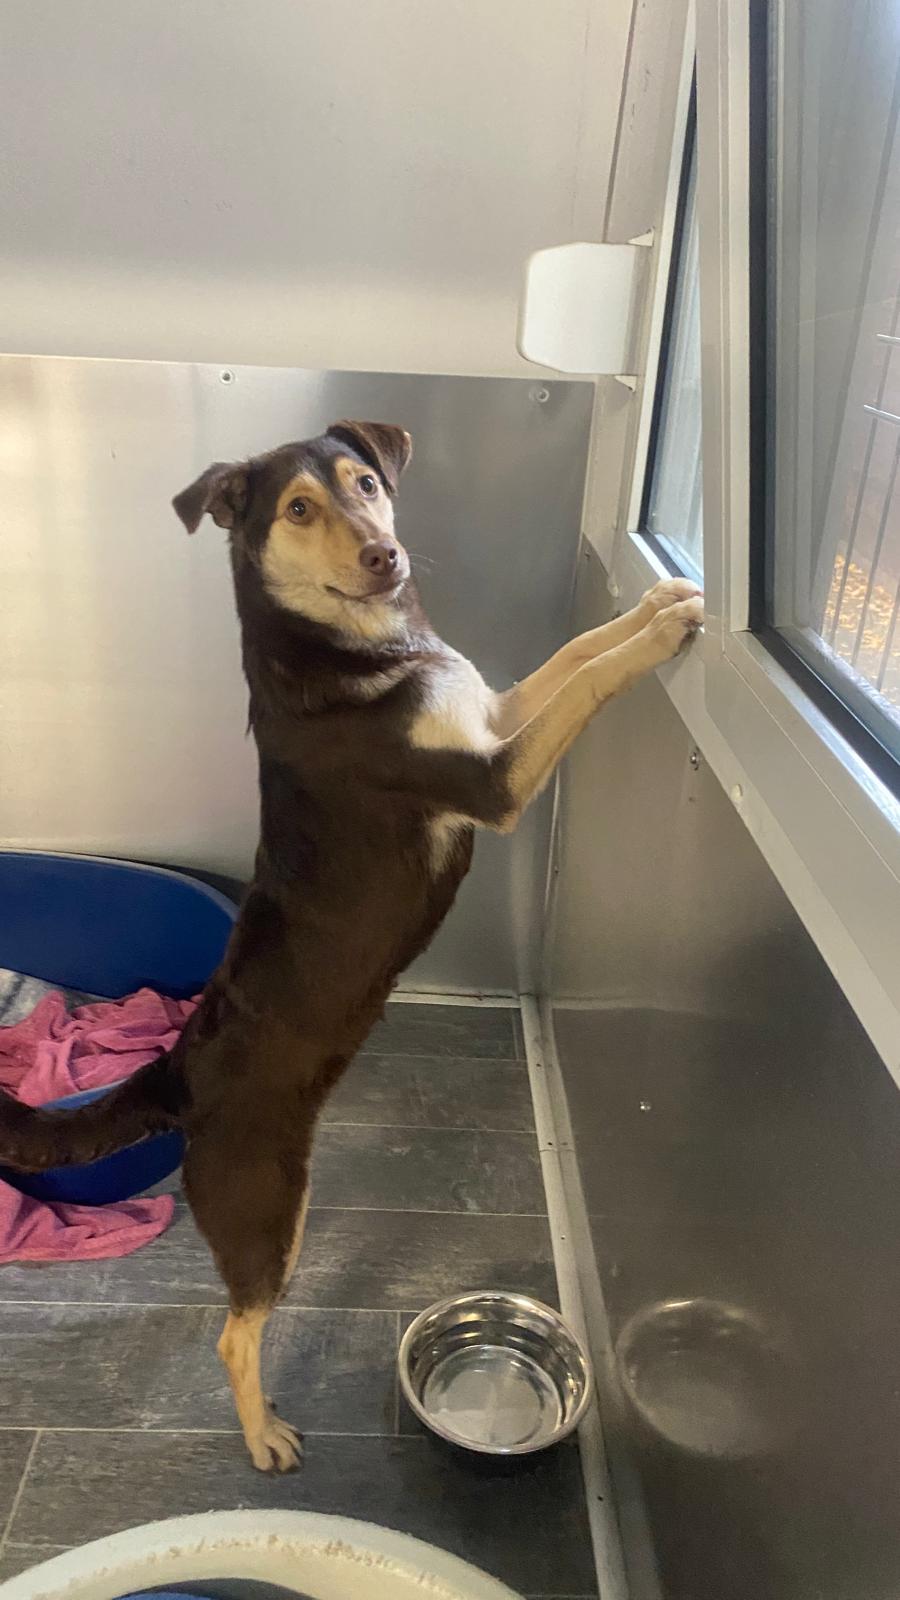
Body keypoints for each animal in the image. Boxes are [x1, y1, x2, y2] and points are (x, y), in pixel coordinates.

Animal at [0, 420, 702, 1471]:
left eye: (364, 482)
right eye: (298, 510)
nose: (386, 556)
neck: (354, 649)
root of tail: (176, 1073)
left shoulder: (490, 715)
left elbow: (572, 652)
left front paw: (655, 604)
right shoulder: (494, 782)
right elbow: (584, 680)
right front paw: (660, 635)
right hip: (263, 1205)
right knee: (234, 1331)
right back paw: (264, 1437)